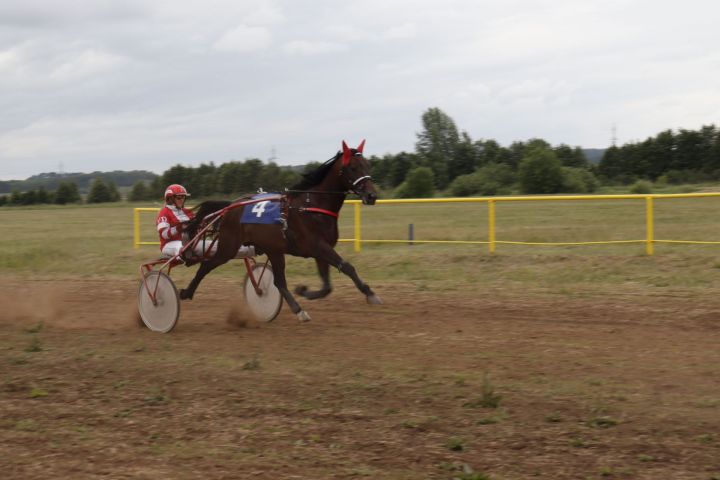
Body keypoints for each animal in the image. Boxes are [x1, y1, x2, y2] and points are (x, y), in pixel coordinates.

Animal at [180, 140, 382, 322]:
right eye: (353, 167)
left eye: (368, 165)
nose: (372, 195)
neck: (312, 206)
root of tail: (231, 206)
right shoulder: (318, 246)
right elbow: (347, 267)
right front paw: (371, 294)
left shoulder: (321, 250)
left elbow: (327, 286)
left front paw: (304, 291)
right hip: (228, 247)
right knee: (206, 265)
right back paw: (186, 292)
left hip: (273, 249)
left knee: (279, 281)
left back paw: (297, 309)